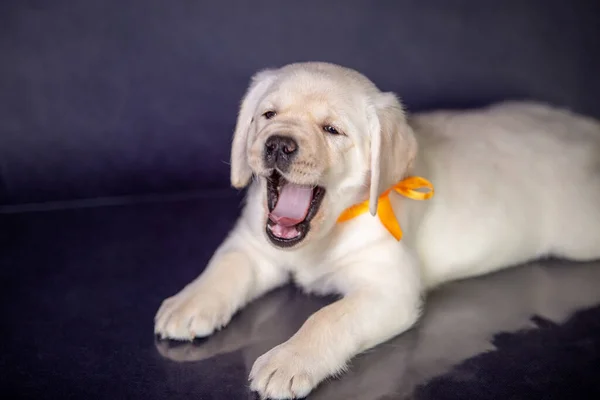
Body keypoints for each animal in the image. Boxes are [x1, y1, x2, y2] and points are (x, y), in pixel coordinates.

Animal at [156, 62, 600, 400]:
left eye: (332, 130)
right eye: (268, 115)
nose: (279, 144)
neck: (325, 233)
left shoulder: (388, 288)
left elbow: (328, 318)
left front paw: (288, 360)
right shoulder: (253, 244)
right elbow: (225, 265)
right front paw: (189, 303)